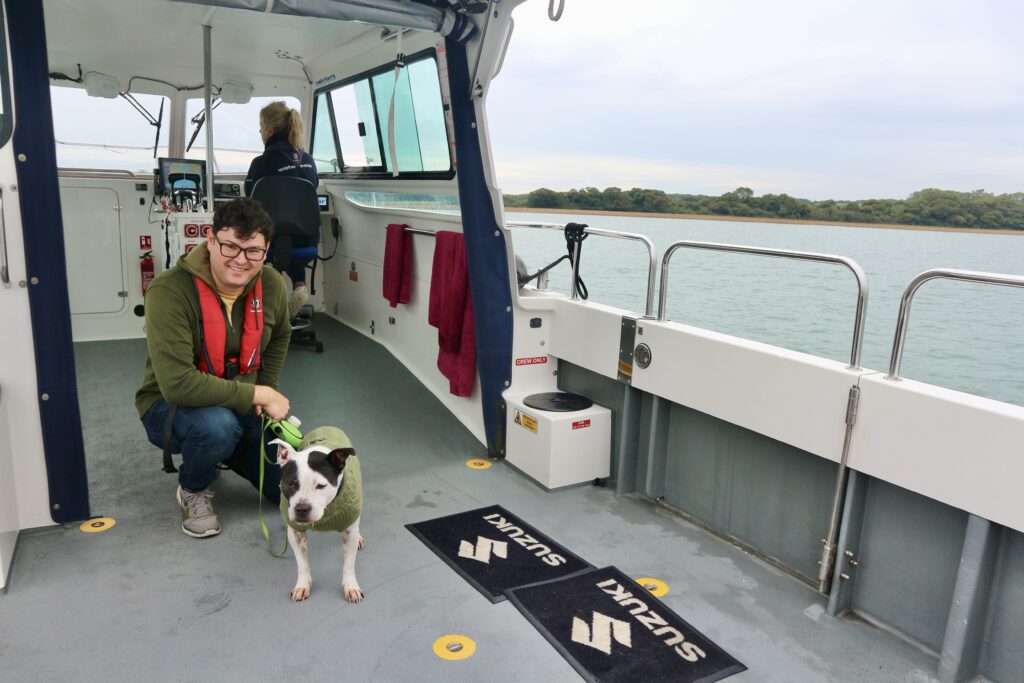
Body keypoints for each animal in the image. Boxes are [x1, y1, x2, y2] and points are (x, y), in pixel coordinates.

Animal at [272, 428, 364, 602]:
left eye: (321, 486)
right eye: (291, 484)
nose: (302, 508)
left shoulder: (350, 532)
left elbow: (349, 564)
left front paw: (351, 586)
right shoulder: (295, 533)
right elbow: (302, 564)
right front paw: (302, 585)